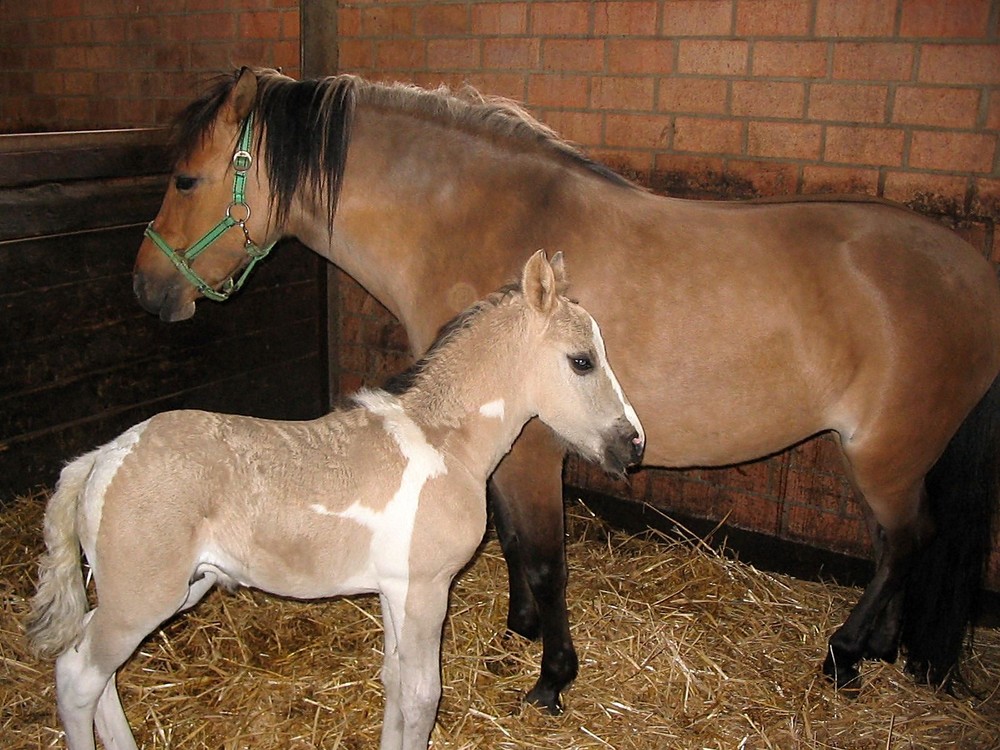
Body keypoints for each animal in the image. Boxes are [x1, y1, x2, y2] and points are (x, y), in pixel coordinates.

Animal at [29, 253, 648, 750]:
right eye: (582, 361)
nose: (633, 444)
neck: (444, 442)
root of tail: (103, 456)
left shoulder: (395, 591)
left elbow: (395, 685)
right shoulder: (426, 589)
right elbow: (423, 697)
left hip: (176, 589)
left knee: (91, 669)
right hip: (141, 599)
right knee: (78, 678)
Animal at [135, 67, 1000, 712]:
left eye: (185, 178)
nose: (147, 290)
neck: (477, 224)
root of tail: (974, 272)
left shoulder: (533, 450)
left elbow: (547, 558)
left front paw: (551, 679)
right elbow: (517, 543)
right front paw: (518, 631)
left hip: (884, 457)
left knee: (907, 543)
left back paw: (846, 654)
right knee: (898, 547)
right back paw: (877, 649)